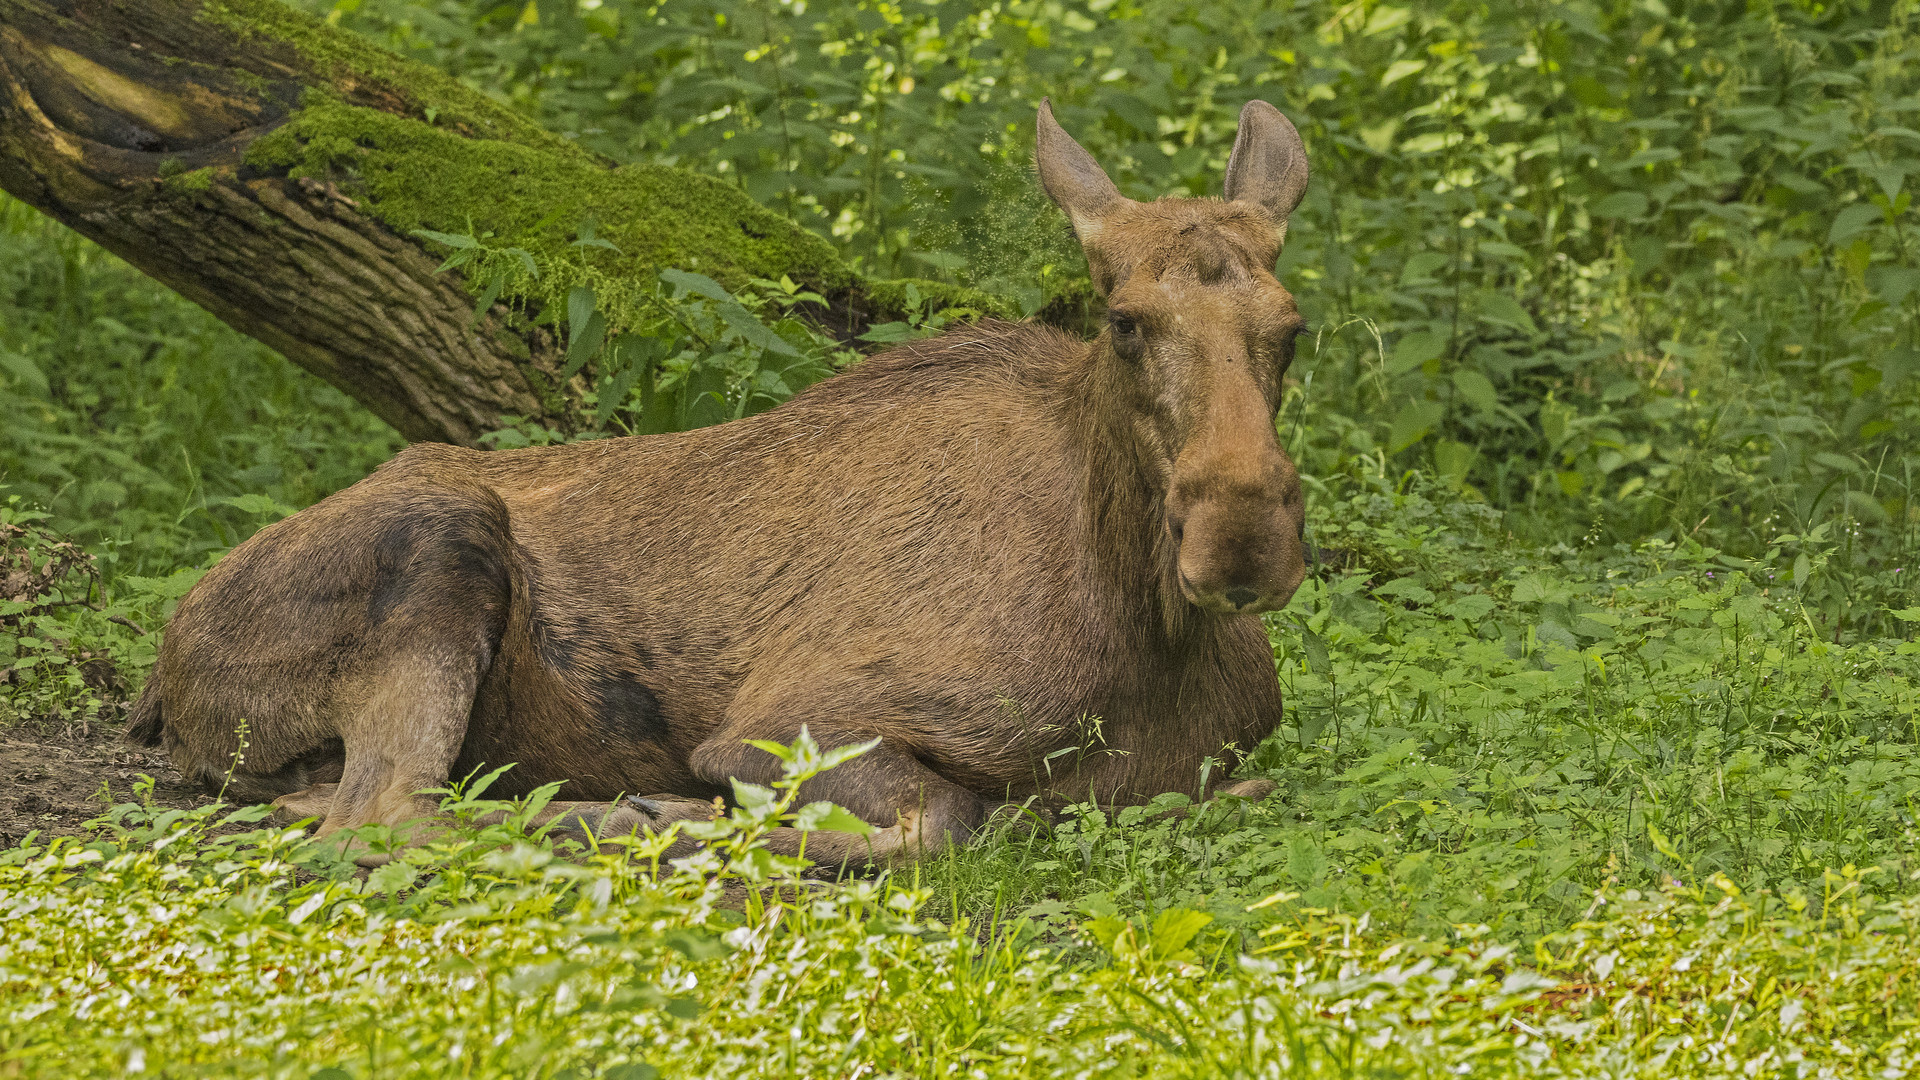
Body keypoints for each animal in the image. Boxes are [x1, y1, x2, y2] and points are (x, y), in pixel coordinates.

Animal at [123, 96, 1320, 860]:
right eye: (1123, 321)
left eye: (1292, 327)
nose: (1242, 537)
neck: (1145, 631)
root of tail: (160, 680)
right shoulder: (783, 726)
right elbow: (948, 823)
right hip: (444, 535)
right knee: (373, 817)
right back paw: (631, 817)